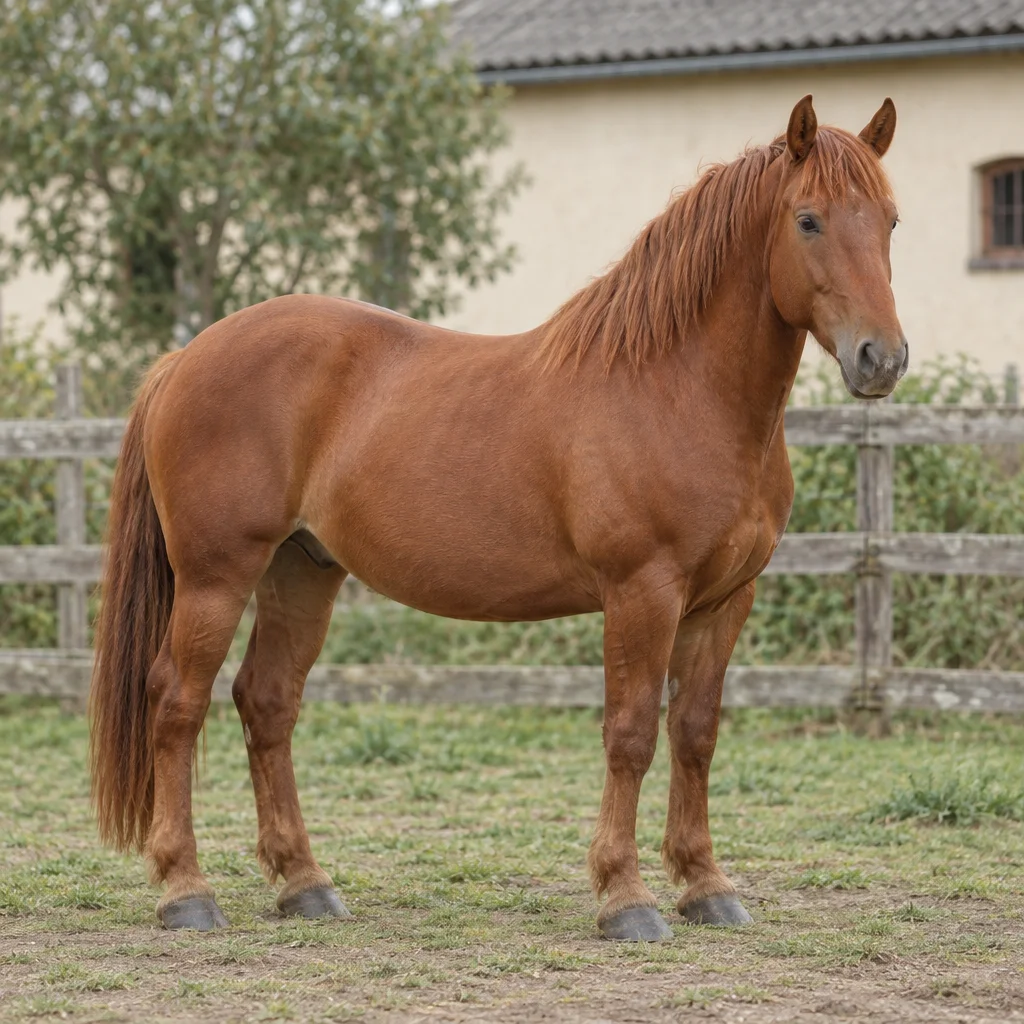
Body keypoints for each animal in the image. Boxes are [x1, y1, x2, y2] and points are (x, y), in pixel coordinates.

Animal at [89, 95, 906, 940]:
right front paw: (626, 897)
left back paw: (305, 883)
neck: (676, 387)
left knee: (267, 701)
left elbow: (695, 733)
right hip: (216, 577)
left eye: (890, 220)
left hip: (302, 569)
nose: (881, 359)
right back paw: (185, 890)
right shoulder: (642, 592)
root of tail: (184, 358)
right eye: (808, 220)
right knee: (176, 705)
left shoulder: (724, 601)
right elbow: (631, 733)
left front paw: (706, 885)